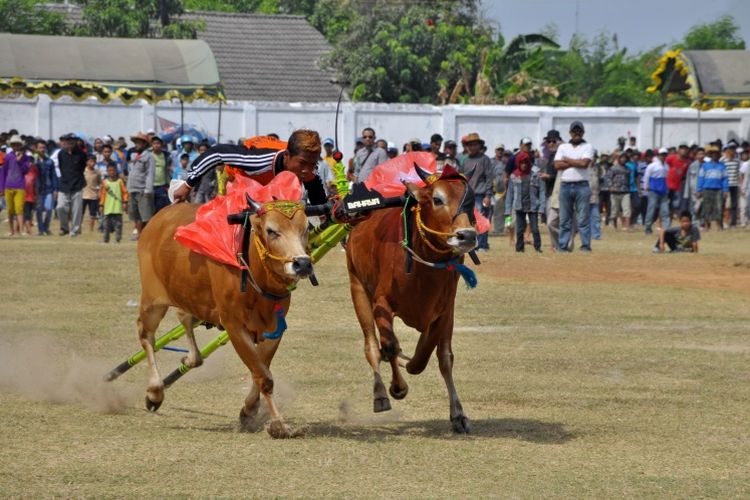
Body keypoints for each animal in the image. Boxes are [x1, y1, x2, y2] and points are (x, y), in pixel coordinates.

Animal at [137, 196, 312, 438]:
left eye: (306, 228)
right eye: (271, 230)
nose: (302, 264)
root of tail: (157, 219)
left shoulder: (274, 328)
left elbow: (261, 369)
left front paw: (249, 410)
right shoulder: (234, 326)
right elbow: (264, 377)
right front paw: (279, 425)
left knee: (184, 318)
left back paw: (191, 358)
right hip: (153, 301)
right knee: (146, 336)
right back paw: (155, 391)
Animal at [348, 169, 478, 434]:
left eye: (471, 200)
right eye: (437, 199)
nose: (467, 236)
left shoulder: (445, 311)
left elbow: (440, 357)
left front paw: (458, 414)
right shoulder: (381, 303)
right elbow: (388, 345)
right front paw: (397, 386)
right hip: (357, 288)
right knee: (371, 346)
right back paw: (380, 393)